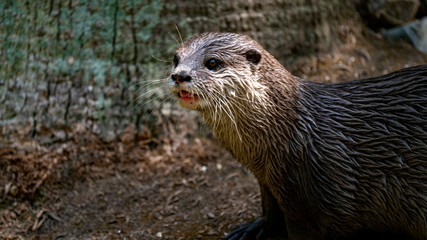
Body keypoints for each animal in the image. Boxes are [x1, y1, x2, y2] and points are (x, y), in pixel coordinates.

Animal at [168, 32, 427, 240]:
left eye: (212, 62)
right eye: (176, 59)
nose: (179, 75)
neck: (289, 131)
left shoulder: (302, 193)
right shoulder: (268, 180)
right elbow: (269, 210)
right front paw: (252, 228)